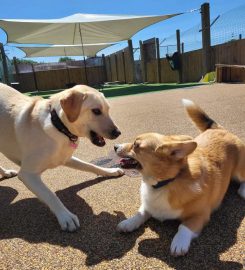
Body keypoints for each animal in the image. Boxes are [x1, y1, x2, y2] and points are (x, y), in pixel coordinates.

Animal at [0, 83, 122, 231]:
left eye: (108, 110)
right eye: (96, 111)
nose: (118, 132)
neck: (57, 125)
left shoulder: (66, 158)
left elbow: (90, 166)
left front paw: (110, 171)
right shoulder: (27, 174)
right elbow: (50, 195)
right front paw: (65, 216)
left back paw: (6, 173)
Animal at [114, 99, 245, 255]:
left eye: (136, 145)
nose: (115, 146)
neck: (164, 183)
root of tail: (221, 129)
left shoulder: (200, 215)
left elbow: (183, 227)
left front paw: (179, 243)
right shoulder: (148, 206)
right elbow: (140, 213)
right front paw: (128, 223)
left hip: (239, 171)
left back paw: (243, 190)